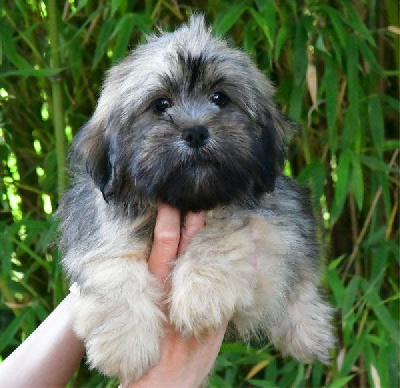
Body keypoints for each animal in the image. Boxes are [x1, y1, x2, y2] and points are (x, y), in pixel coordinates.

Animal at [57, 14, 334, 384]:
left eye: (220, 98)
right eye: (160, 104)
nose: (196, 131)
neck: (187, 200)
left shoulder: (273, 220)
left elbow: (224, 231)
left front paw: (202, 294)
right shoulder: (97, 221)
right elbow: (112, 260)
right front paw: (125, 342)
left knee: (301, 280)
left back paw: (309, 330)